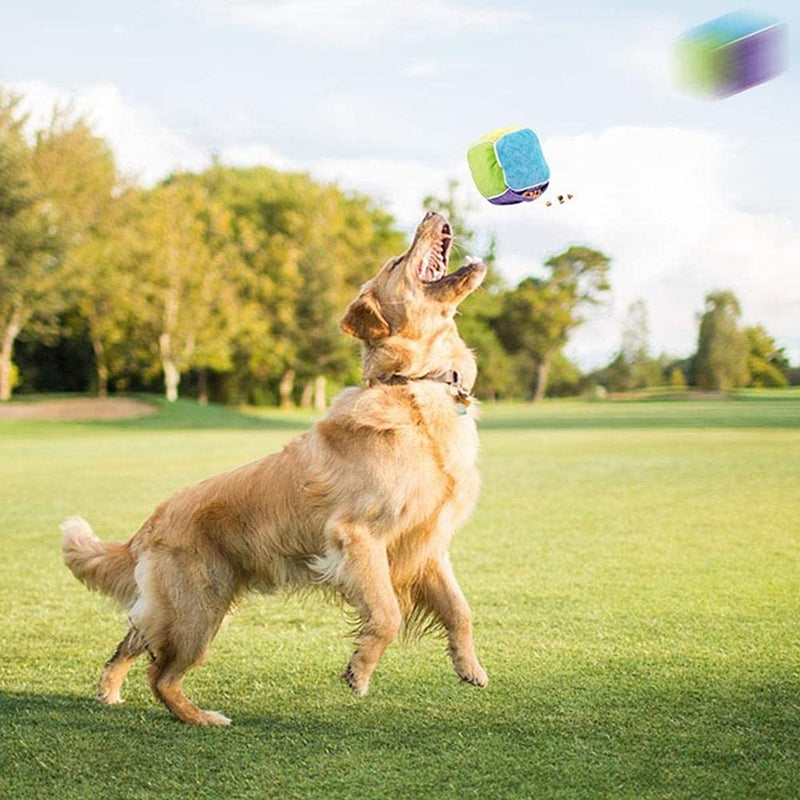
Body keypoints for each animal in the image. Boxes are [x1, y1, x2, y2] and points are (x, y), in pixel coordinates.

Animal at [62, 211, 488, 724]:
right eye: (396, 262)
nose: (430, 214)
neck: (413, 386)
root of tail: (147, 526)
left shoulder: (427, 544)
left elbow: (460, 610)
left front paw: (469, 667)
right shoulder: (357, 537)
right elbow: (387, 613)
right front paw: (359, 671)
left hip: (183, 609)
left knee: (131, 642)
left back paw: (109, 692)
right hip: (197, 612)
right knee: (160, 676)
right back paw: (202, 718)